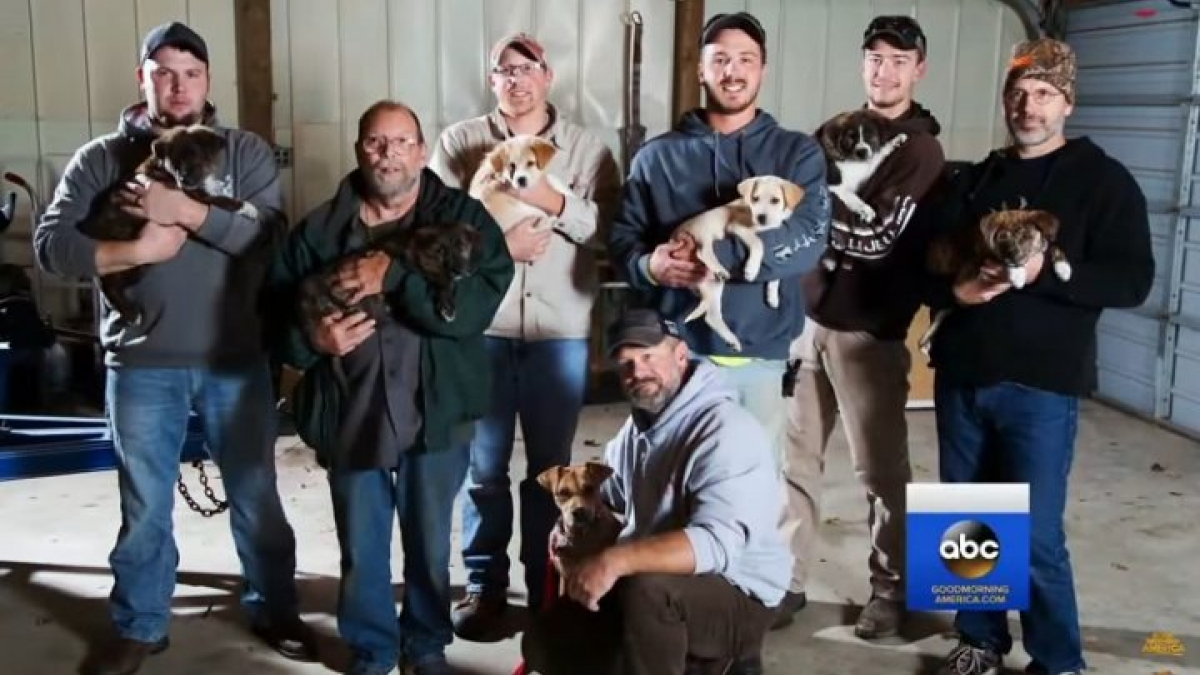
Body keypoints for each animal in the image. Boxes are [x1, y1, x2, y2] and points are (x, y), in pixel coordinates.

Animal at [676, 172, 806, 353]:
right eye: (755, 199)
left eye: (775, 200)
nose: (761, 217)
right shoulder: (737, 228)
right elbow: (759, 243)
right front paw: (751, 270)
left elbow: (776, 272)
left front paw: (772, 296)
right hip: (707, 228)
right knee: (702, 251)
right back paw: (720, 268)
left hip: (712, 285)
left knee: (711, 317)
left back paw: (731, 340)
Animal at [912, 200, 1075, 355]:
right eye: (1002, 238)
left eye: (1026, 236)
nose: (1013, 259)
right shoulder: (977, 262)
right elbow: (998, 259)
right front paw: (1017, 273)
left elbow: (1053, 246)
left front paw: (1063, 267)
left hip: (948, 310)